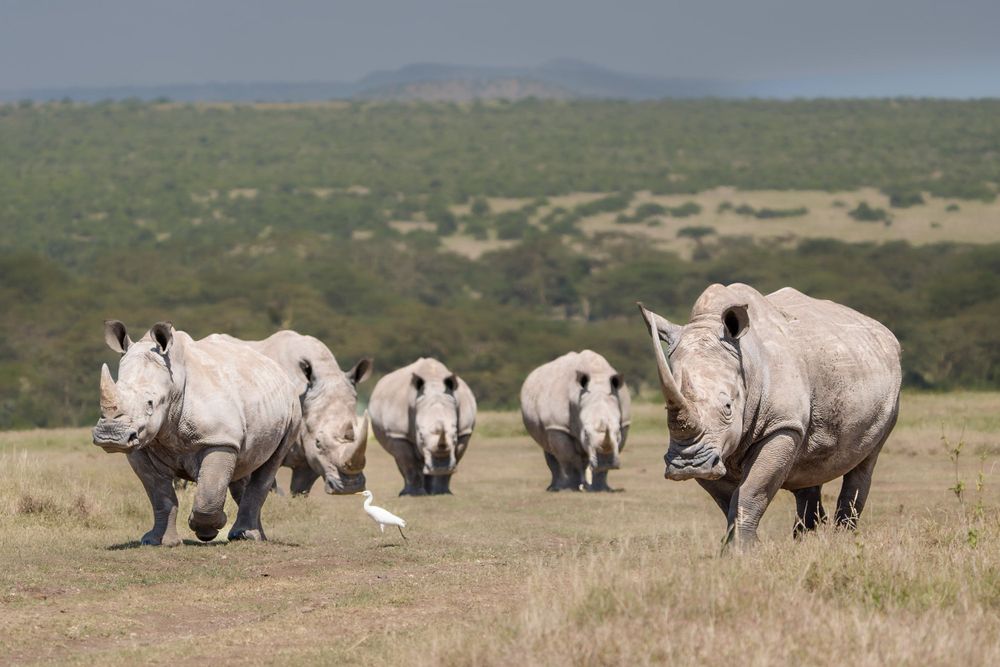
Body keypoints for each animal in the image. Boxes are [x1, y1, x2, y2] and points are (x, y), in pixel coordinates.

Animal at [92, 321, 301, 546]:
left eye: (150, 403)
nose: (110, 435)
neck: (174, 383)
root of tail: (279, 371)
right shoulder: (141, 447)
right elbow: (160, 495)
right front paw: (159, 541)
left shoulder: (219, 439)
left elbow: (208, 493)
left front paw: (207, 531)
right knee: (245, 463)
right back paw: (251, 536)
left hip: (293, 408)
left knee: (270, 464)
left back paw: (248, 536)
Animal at [369, 358, 477, 495]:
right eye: (420, 436)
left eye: (454, 435)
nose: (440, 468)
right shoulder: (398, 434)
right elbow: (409, 462)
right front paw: (414, 494)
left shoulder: (464, 432)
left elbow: (454, 459)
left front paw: (442, 493)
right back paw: (407, 492)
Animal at [520, 351, 631, 492]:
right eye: (586, 434)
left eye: (617, 433)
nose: (605, 462)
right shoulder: (557, 426)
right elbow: (569, 459)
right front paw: (569, 489)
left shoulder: (624, 424)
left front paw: (601, 489)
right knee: (550, 450)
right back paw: (555, 488)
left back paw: (584, 486)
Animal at [638, 283, 901, 548]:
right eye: (666, 408)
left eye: (728, 407)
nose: (688, 465)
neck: (746, 360)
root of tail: (885, 333)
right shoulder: (712, 450)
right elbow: (728, 499)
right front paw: (745, 546)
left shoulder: (781, 425)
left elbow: (751, 491)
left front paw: (740, 550)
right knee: (808, 464)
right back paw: (805, 540)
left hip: (890, 392)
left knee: (865, 461)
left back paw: (842, 539)